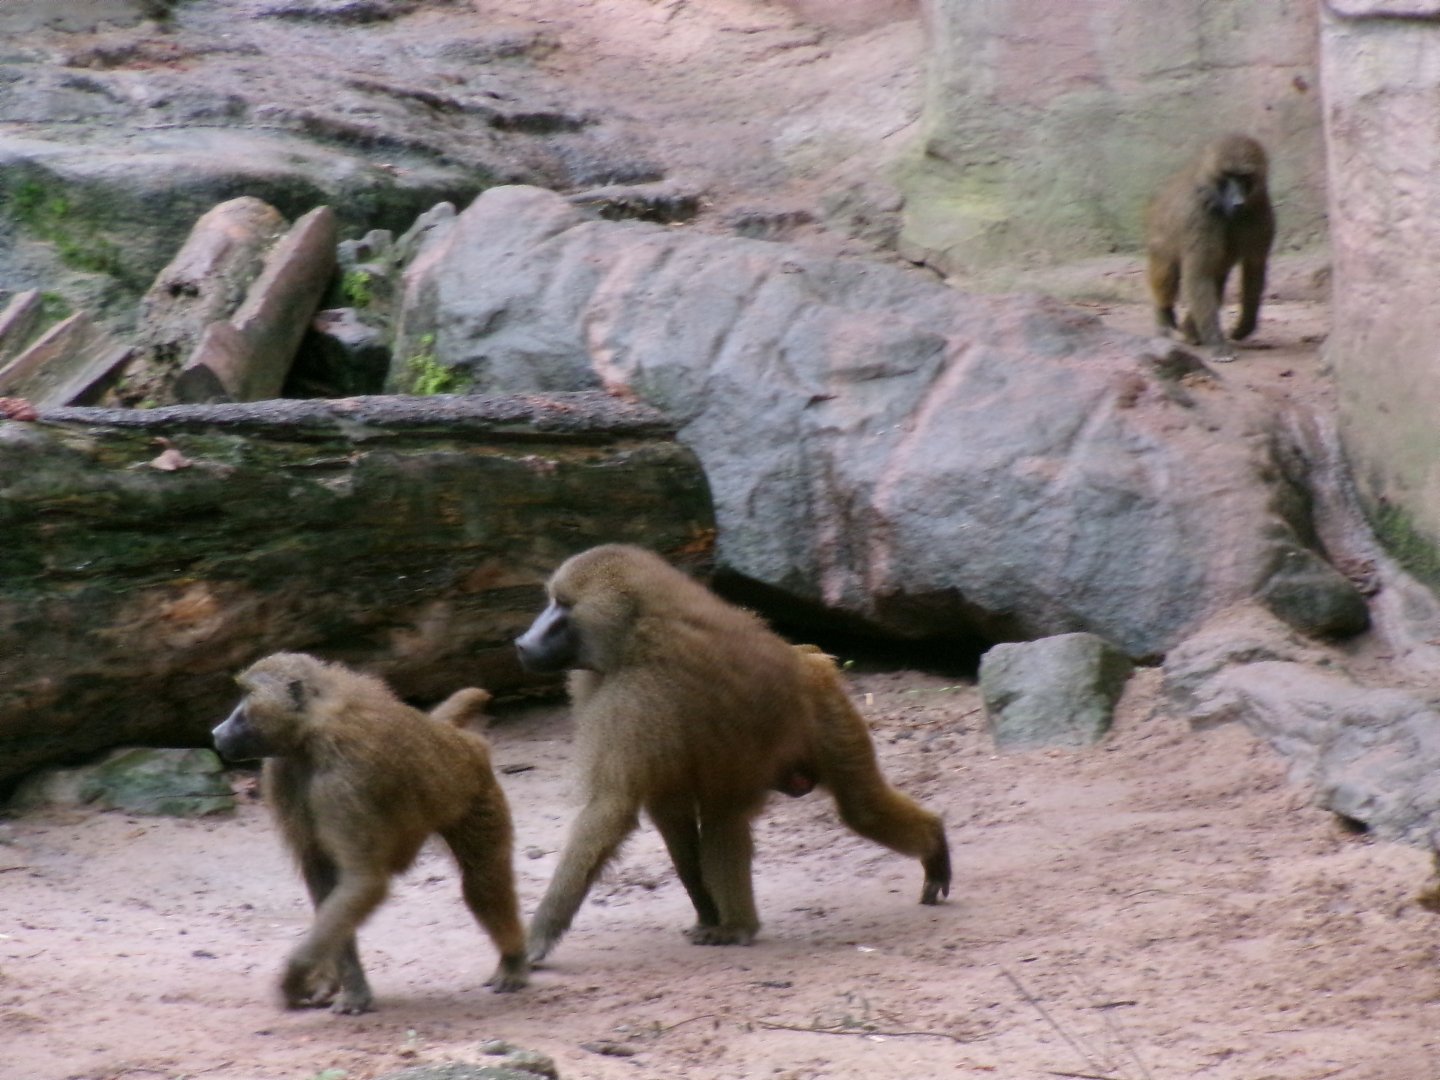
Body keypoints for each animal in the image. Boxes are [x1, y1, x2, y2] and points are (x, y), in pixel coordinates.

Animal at [211, 653, 527, 1014]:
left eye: (246, 695)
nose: (216, 732)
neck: (312, 732)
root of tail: (451, 736)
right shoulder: (282, 771)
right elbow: (327, 878)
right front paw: (350, 989)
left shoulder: (343, 780)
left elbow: (362, 880)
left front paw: (294, 978)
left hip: (476, 793)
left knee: (483, 882)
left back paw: (513, 960)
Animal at [514, 544, 950, 963]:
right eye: (552, 602)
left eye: (563, 606)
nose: (522, 643)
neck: (634, 634)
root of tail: (807, 658)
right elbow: (667, 811)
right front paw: (704, 911)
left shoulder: (635, 700)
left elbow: (611, 808)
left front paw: (536, 939)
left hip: (825, 712)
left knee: (850, 809)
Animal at [1144, 133, 1275, 361]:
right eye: (1228, 177)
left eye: (1244, 177)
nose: (1238, 202)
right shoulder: (1198, 215)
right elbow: (1198, 276)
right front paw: (1217, 343)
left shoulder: (1258, 208)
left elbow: (1254, 267)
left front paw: (1244, 327)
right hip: (1158, 236)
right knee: (1168, 275)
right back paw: (1164, 320)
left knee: (1217, 280)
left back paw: (1190, 331)